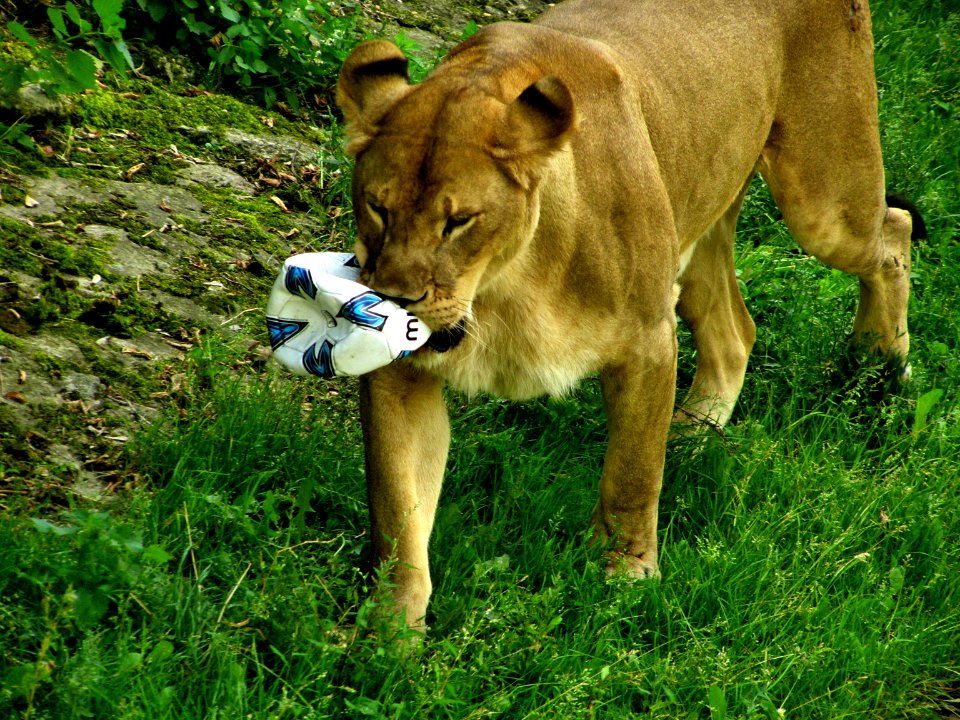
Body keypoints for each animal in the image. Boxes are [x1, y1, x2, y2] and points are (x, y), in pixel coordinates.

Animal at [336, 0, 924, 628]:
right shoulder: (398, 372)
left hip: (825, 201)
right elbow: (398, 510)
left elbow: (633, 473)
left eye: (458, 222)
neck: (503, 287)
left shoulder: (648, 341)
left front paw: (626, 577)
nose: (396, 300)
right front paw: (389, 633)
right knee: (735, 331)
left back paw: (880, 369)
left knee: (893, 231)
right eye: (378, 208)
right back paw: (695, 432)